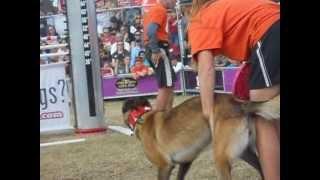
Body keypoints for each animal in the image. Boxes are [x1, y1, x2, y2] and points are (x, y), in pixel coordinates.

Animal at [122, 93, 280, 179]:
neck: (142, 117)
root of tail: (239, 104)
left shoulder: (164, 167)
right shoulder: (186, 162)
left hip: (221, 158)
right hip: (244, 151)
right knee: (262, 167)